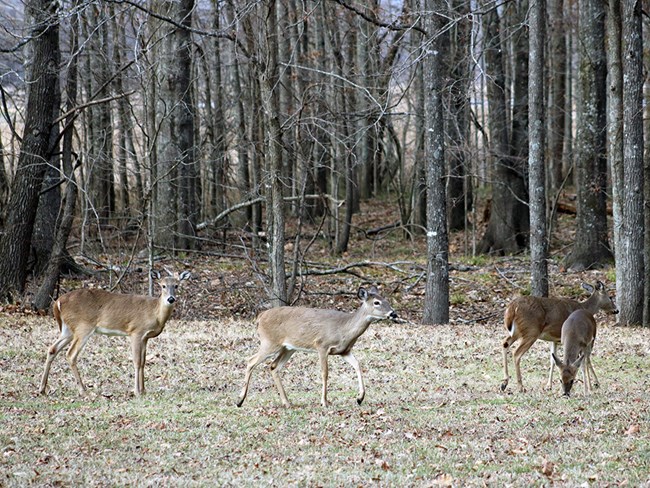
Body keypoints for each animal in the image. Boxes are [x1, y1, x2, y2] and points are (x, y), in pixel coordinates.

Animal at [38, 269, 191, 397]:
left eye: (176, 285)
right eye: (163, 286)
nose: (171, 299)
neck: (155, 313)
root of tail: (57, 302)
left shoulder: (145, 337)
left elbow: (143, 362)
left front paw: (143, 390)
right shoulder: (136, 331)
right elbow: (137, 361)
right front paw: (137, 391)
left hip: (68, 329)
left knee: (52, 349)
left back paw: (42, 389)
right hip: (83, 327)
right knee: (70, 354)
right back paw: (83, 390)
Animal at [236, 285, 397, 408]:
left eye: (387, 300)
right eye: (376, 302)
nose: (394, 314)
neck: (344, 329)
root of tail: (259, 317)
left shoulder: (344, 351)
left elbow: (358, 365)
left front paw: (360, 398)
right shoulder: (322, 345)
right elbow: (325, 373)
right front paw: (324, 402)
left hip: (288, 348)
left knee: (274, 366)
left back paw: (287, 402)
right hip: (269, 342)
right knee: (251, 361)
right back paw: (240, 400)